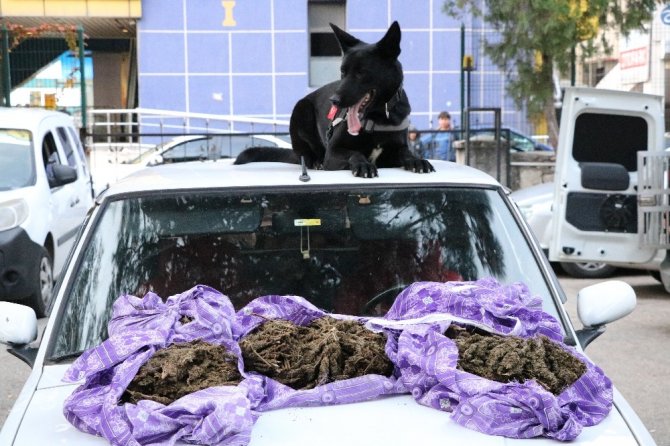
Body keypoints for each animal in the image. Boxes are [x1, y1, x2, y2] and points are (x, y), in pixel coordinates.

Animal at [236, 21, 436, 178]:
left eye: (361, 73)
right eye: (343, 72)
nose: (334, 100)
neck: (377, 117)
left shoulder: (394, 152)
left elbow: (406, 153)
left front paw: (417, 160)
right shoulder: (333, 153)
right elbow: (354, 153)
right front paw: (362, 164)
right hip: (302, 111)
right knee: (306, 156)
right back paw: (316, 161)